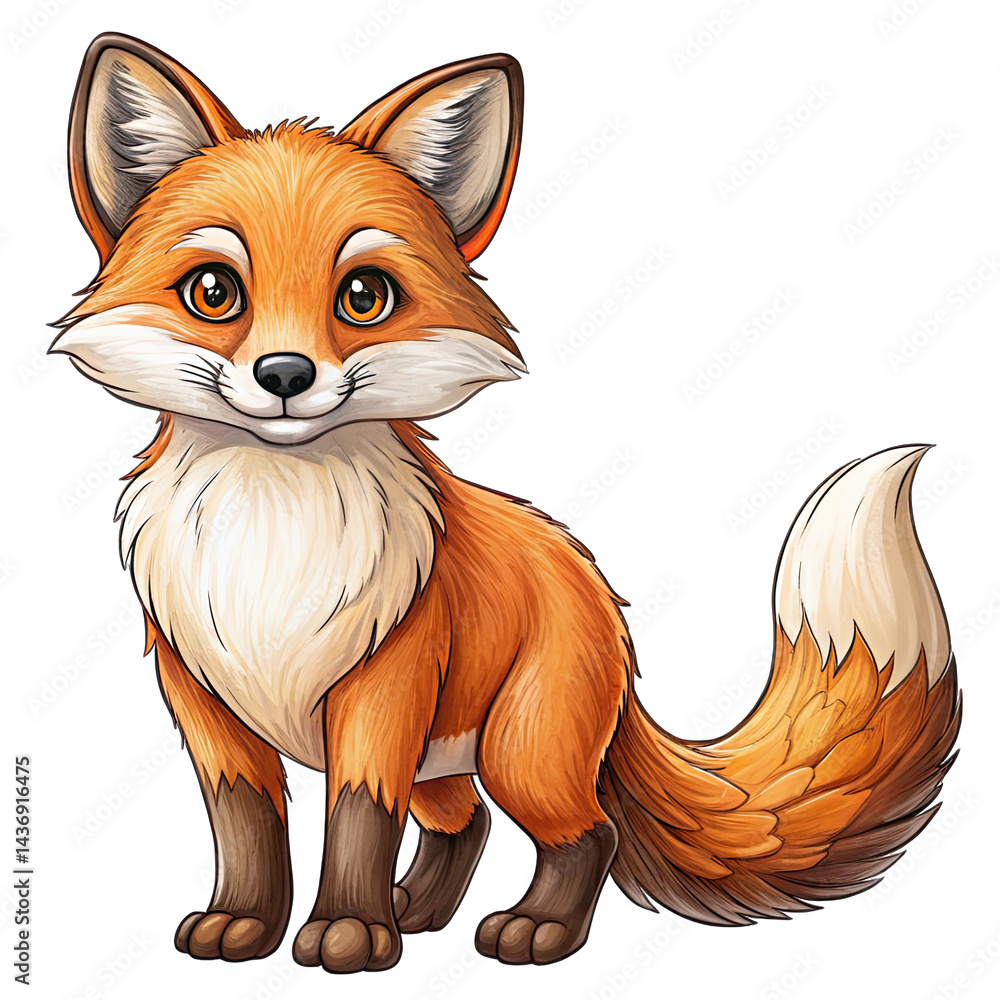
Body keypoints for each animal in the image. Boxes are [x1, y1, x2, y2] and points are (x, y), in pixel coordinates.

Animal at [52, 33, 961, 973]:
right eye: (214, 292)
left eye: (363, 296)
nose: (285, 375)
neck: (271, 541)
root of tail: (598, 591)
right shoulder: (202, 701)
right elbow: (247, 826)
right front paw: (245, 923)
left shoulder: (385, 691)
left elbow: (357, 818)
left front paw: (348, 932)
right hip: (450, 765)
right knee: (469, 823)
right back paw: (417, 910)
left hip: (523, 750)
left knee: (586, 834)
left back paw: (535, 930)